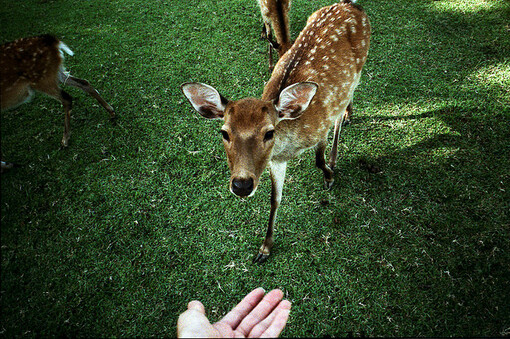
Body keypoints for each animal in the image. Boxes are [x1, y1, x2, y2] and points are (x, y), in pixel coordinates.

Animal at [1, 35, 115, 170]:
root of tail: (53, 41)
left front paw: (7, 165)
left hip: (42, 79)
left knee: (67, 98)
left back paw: (64, 140)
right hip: (55, 73)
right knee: (84, 82)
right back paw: (111, 112)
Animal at [183, 0, 370, 262]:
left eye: (269, 132)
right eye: (224, 133)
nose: (241, 185)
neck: (290, 144)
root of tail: (350, 4)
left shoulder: (321, 125)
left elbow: (318, 159)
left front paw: (329, 176)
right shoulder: (276, 161)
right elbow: (275, 199)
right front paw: (264, 248)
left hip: (360, 65)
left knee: (346, 104)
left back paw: (344, 127)